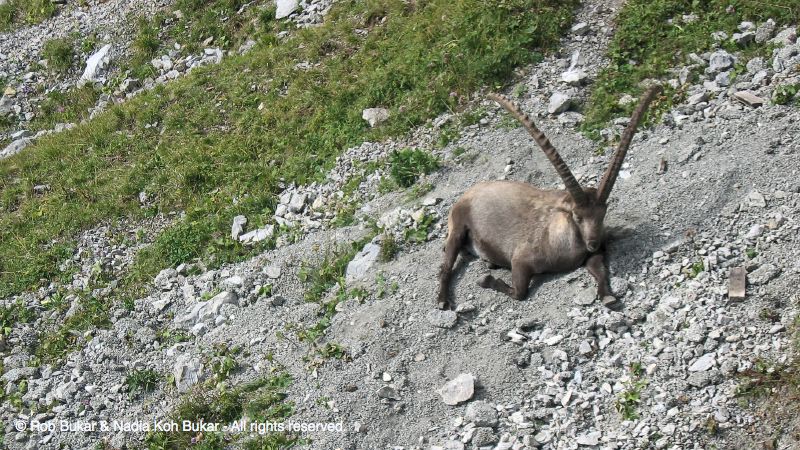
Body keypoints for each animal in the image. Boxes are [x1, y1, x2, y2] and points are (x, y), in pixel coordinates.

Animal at [436, 85, 661, 310]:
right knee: (446, 267)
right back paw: (442, 300)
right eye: (577, 216)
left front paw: (608, 296)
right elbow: (520, 292)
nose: (594, 243)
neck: (561, 240)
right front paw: (485, 280)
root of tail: (468, 193)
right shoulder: (521, 260)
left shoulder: (591, 255)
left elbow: (600, 270)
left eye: (603, 214)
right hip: (458, 227)